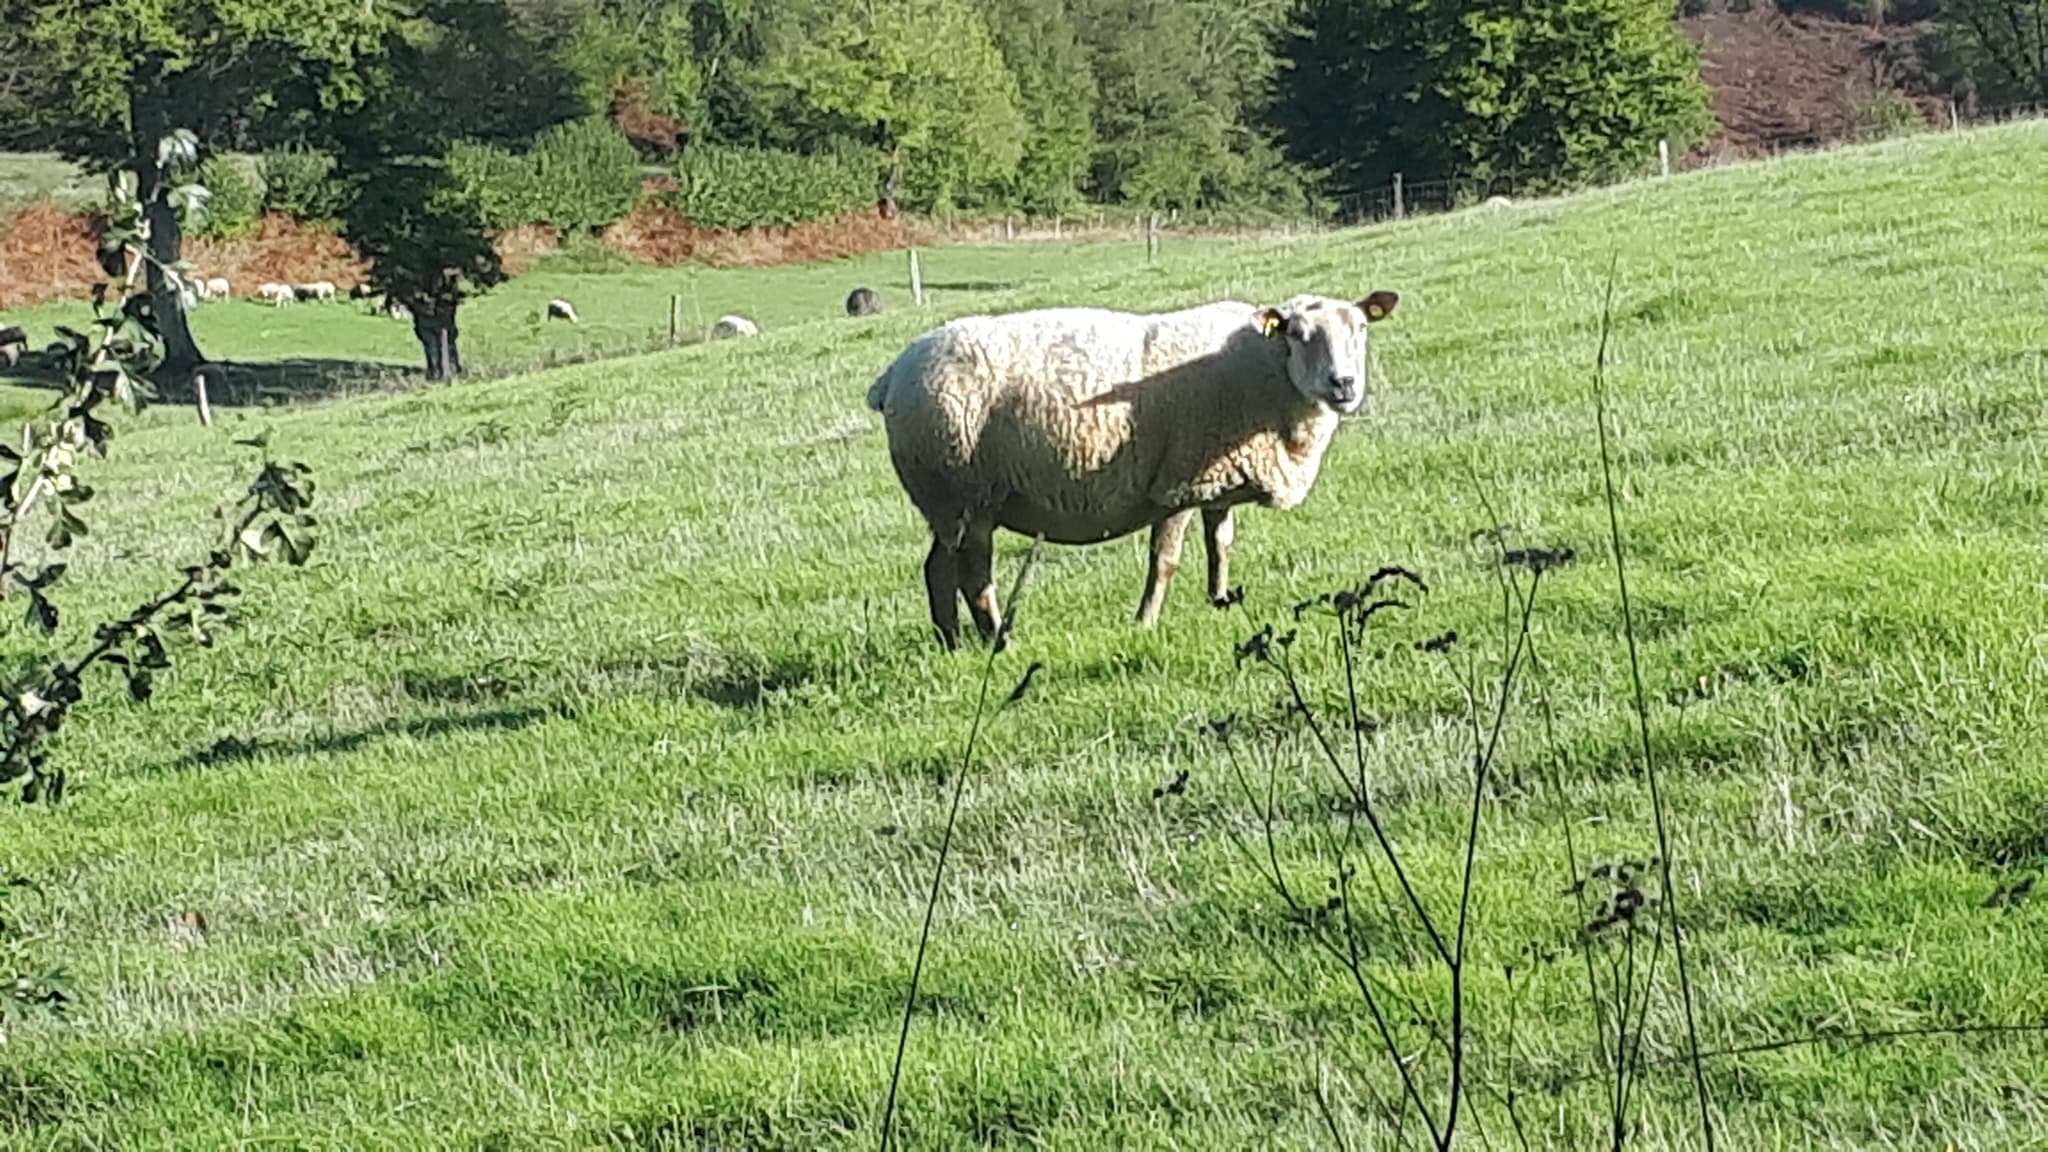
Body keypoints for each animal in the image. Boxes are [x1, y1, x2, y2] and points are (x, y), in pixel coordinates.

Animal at [865, 290, 1401, 649]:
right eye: (1298, 335)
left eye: (1361, 329)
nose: (1344, 384)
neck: (1267, 370)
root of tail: (891, 376)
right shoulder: (1179, 482)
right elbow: (1164, 560)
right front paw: (1145, 621)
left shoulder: (1215, 481)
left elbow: (1221, 544)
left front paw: (1220, 601)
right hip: (962, 492)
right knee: (971, 575)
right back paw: (999, 640)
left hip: (950, 502)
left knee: (938, 570)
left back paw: (952, 642)